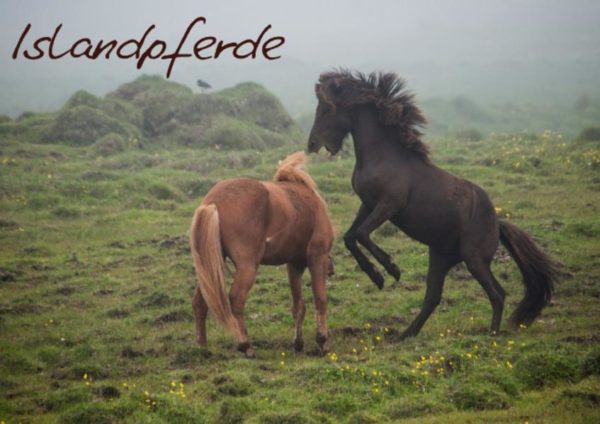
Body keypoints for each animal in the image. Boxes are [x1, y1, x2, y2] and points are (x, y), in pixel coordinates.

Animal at [190, 151, 336, 356]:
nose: (332, 270)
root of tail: (212, 203)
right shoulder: (317, 257)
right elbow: (320, 300)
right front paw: (322, 341)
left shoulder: (294, 264)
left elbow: (298, 305)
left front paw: (298, 343)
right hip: (247, 267)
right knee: (236, 299)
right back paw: (245, 345)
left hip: (209, 267)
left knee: (200, 302)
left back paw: (202, 346)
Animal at [308, 71, 560, 340]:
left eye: (326, 109)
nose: (311, 145)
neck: (383, 155)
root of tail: (497, 222)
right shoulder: (367, 204)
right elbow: (350, 236)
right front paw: (378, 277)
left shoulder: (389, 204)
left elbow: (362, 234)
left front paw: (391, 269)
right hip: (440, 257)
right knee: (433, 297)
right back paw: (405, 334)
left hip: (474, 258)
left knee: (497, 293)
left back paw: (491, 334)